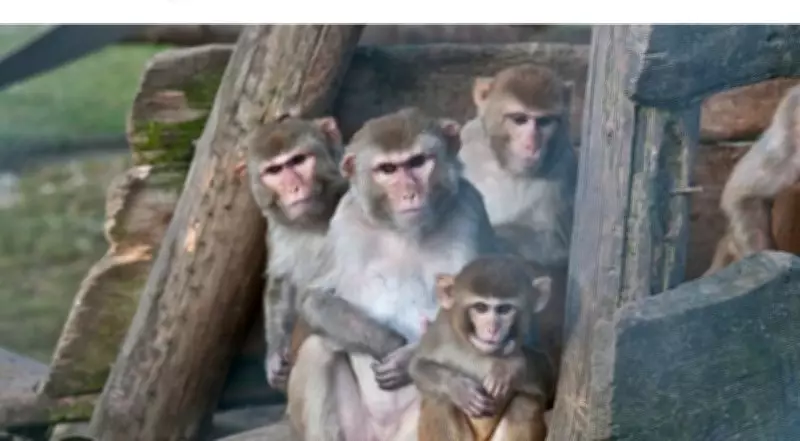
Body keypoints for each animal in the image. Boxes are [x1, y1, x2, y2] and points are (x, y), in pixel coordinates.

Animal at [236, 114, 349, 392]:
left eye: (298, 160)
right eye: (274, 171)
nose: (294, 187)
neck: (315, 221)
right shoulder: (276, 230)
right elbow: (282, 281)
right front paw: (275, 354)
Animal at [285, 107, 503, 441]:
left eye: (417, 162)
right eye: (387, 169)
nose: (410, 193)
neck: (403, 231)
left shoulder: (470, 212)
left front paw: (404, 360)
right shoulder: (345, 220)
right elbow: (314, 297)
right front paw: (389, 343)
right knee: (319, 348)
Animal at [410, 255, 556, 441]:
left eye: (505, 309)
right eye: (480, 308)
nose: (492, 329)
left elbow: (549, 377)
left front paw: (507, 367)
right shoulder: (441, 330)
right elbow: (418, 366)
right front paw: (459, 388)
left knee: (525, 403)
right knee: (439, 399)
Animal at [458, 63, 577, 369]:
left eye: (544, 122)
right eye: (520, 119)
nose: (532, 144)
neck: (506, 168)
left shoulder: (565, 170)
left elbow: (558, 249)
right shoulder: (470, 142)